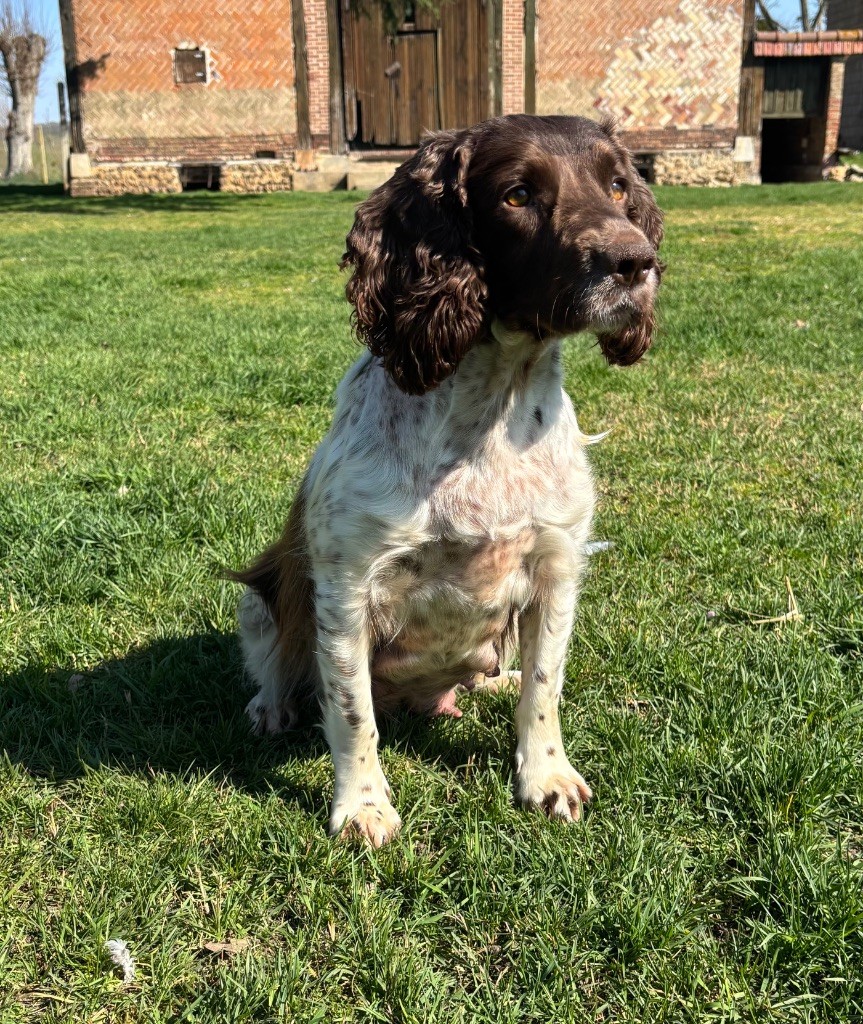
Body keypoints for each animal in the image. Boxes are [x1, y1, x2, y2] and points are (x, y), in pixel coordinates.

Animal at [232, 114, 663, 847]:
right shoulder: (345, 586)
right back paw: (270, 706)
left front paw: (544, 777)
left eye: (616, 185)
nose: (636, 262)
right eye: (518, 194)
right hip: (262, 593)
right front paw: (362, 807)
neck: (488, 414)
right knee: (276, 660)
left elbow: (544, 687)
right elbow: (351, 712)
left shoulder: (557, 566)